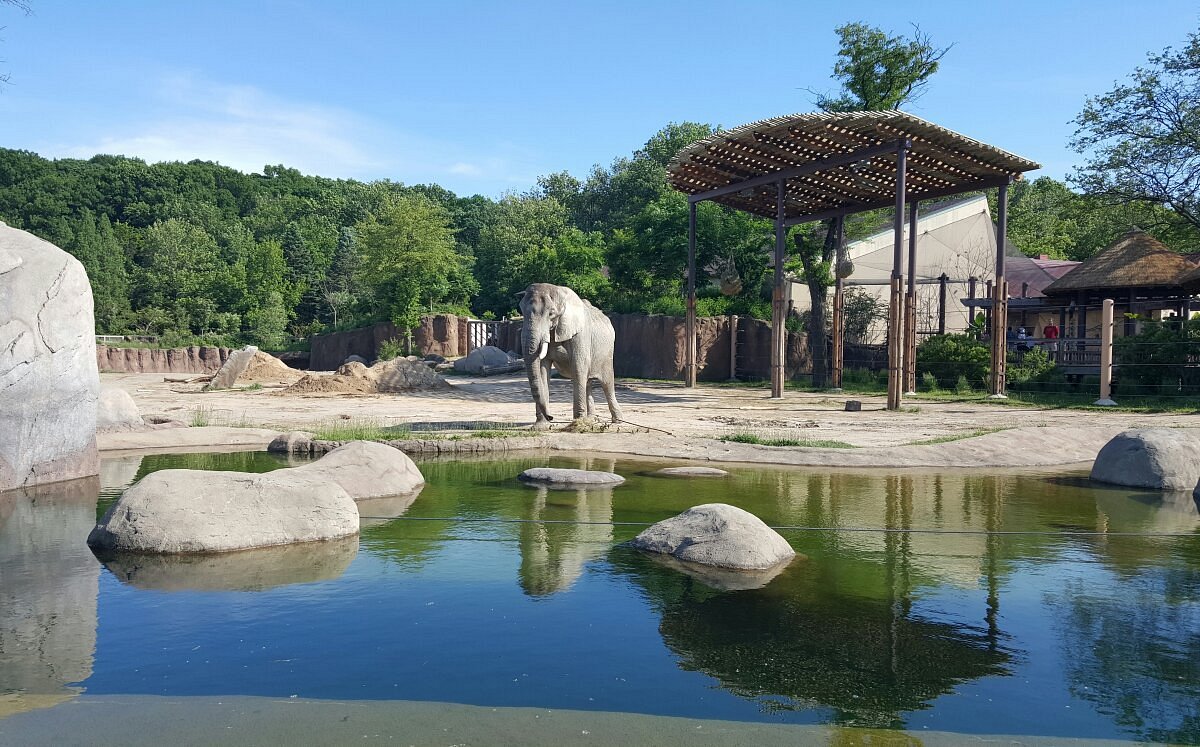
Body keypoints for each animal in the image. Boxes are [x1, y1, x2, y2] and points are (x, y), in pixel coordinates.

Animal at [518, 283, 624, 429]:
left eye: (551, 314)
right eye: (522, 312)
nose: (551, 417)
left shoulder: (581, 334)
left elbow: (578, 366)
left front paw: (578, 424)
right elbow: (542, 369)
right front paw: (540, 426)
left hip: (607, 353)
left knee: (607, 383)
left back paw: (617, 421)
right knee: (587, 382)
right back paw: (591, 419)